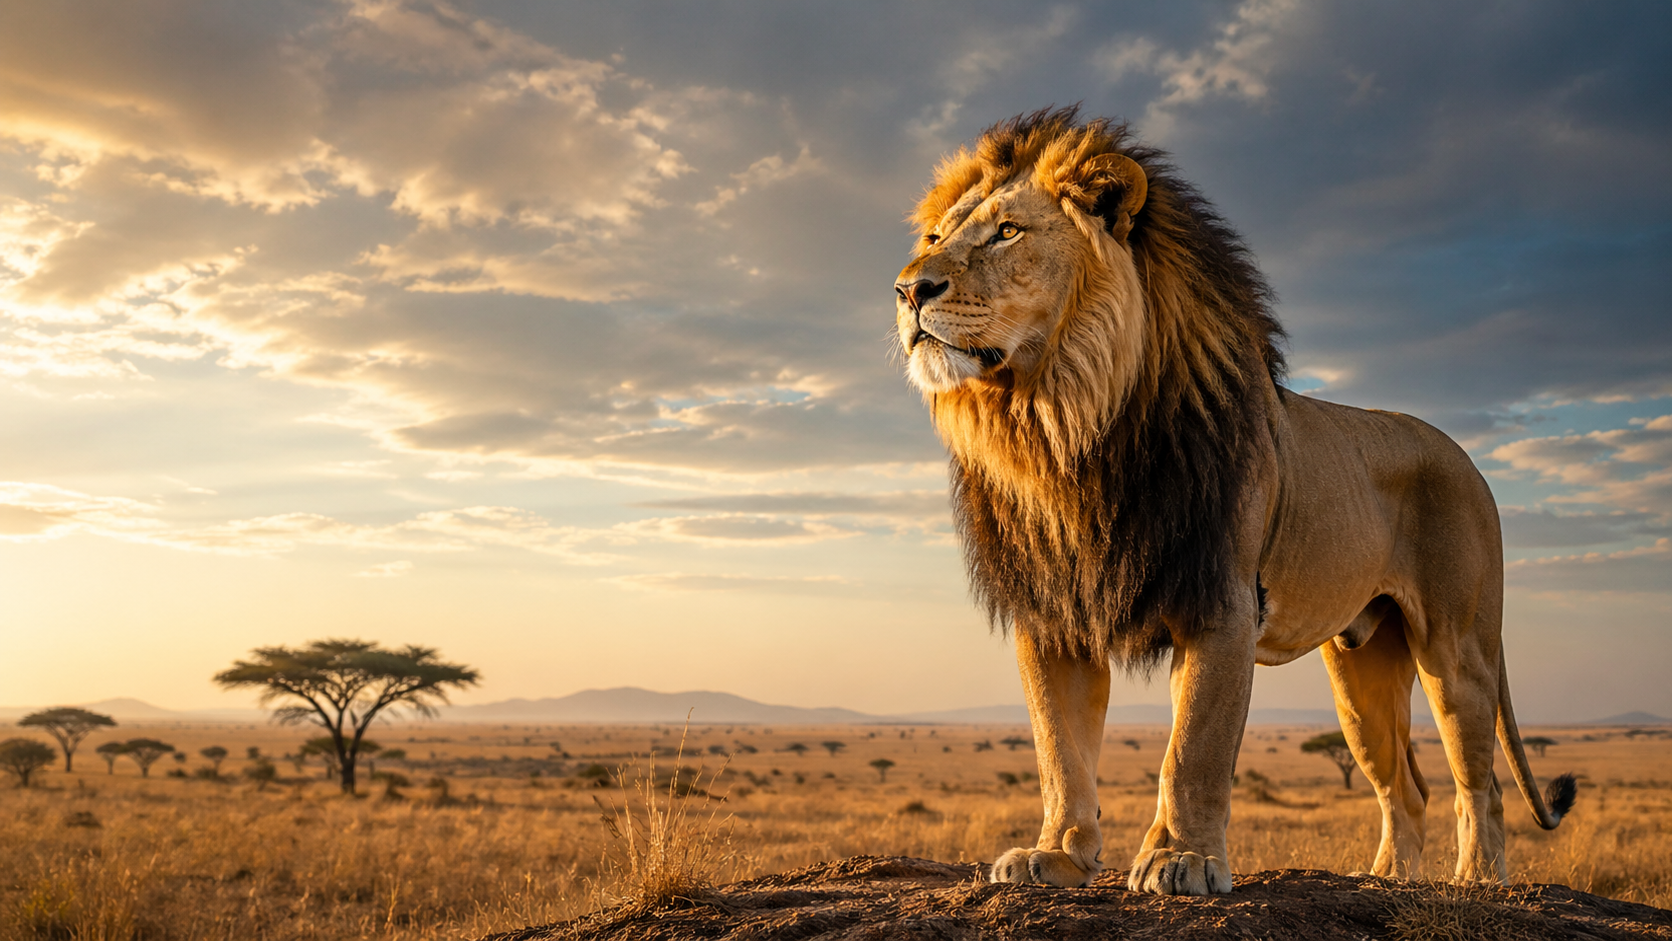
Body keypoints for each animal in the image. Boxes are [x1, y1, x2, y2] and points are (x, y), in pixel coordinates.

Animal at [892, 107, 1576, 894]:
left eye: (1007, 232)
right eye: (935, 239)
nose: (908, 290)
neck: (1061, 427)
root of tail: (1468, 460)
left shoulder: (1220, 599)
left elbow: (1194, 747)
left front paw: (1182, 860)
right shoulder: (1053, 612)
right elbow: (1060, 750)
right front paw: (1058, 854)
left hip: (1456, 648)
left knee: (1479, 783)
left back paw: (1476, 882)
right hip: (1360, 671)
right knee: (1406, 786)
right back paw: (1385, 880)